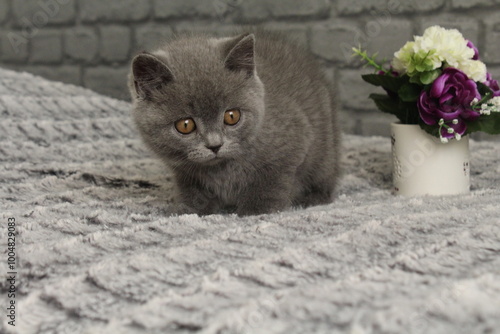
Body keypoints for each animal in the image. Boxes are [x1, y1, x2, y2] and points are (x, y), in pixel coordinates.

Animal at [128, 30, 340, 214]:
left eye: (232, 116)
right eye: (185, 125)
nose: (215, 145)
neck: (221, 168)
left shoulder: (294, 140)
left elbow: (272, 179)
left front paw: (257, 210)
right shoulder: (184, 173)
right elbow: (193, 191)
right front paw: (187, 209)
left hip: (325, 153)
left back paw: (312, 198)